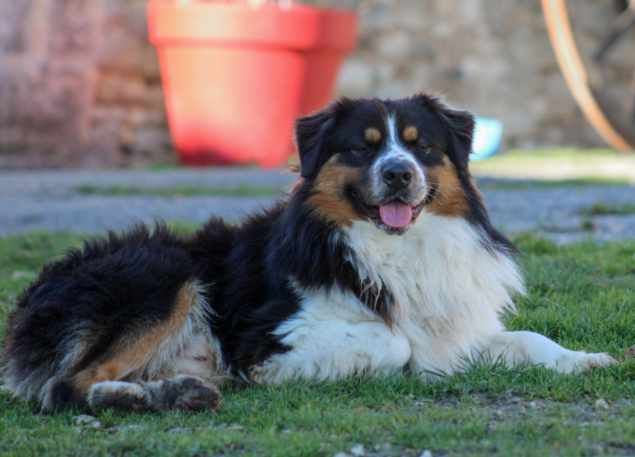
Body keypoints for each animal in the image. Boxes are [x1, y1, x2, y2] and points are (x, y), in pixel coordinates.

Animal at [0, 93, 616, 414]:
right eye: (363, 148)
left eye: (421, 147)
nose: (399, 173)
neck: (394, 247)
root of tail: (33, 298)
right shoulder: (268, 334)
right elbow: (394, 343)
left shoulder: (455, 324)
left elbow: (527, 339)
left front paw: (585, 359)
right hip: (165, 272)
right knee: (63, 388)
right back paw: (157, 395)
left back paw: (182, 389)